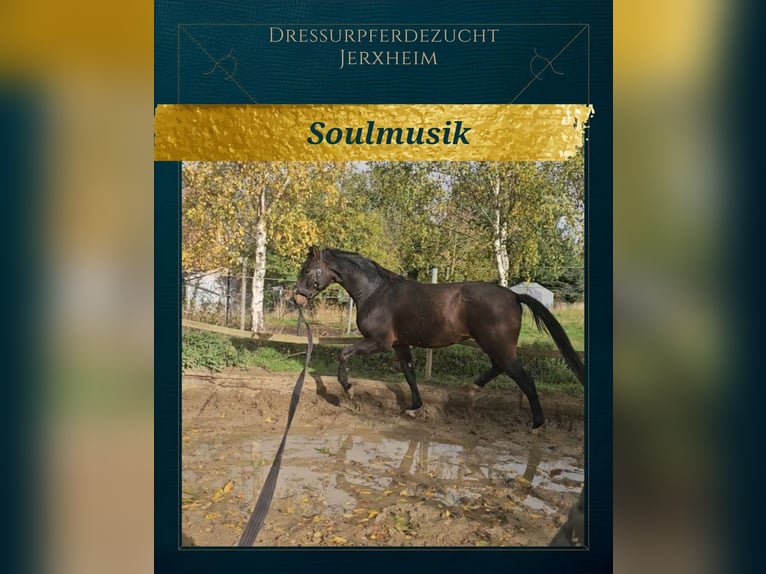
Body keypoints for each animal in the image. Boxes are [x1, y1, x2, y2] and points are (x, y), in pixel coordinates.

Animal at [293, 247, 584, 428]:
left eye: (308, 270)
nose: (296, 297)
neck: (376, 293)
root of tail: (514, 295)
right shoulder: (400, 345)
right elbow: (410, 375)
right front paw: (414, 407)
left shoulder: (380, 342)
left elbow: (344, 353)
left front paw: (348, 389)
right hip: (494, 346)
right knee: (500, 368)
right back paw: (472, 390)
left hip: (498, 345)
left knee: (524, 377)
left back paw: (537, 424)